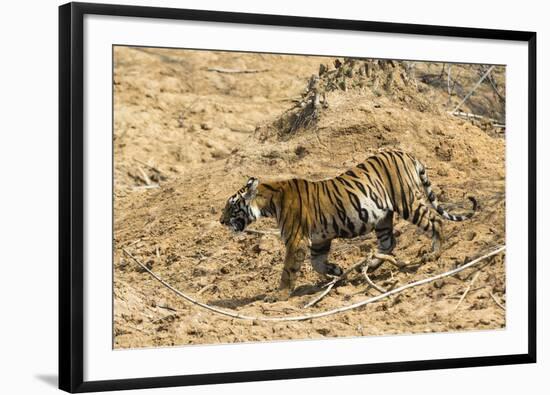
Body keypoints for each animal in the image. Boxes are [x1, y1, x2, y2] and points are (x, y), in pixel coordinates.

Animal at [218, 150, 476, 302]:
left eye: (231, 206)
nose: (221, 221)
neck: (269, 201)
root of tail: (406, 153)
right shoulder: (319, 239)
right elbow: (317, 263)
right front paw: (337, 271)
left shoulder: (296, 240)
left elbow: (288, 270)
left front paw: (278, 296)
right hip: (382, 217)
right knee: (389, 243)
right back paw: (369, 266)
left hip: (407, 202)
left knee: (435, 221)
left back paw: (434, 253)